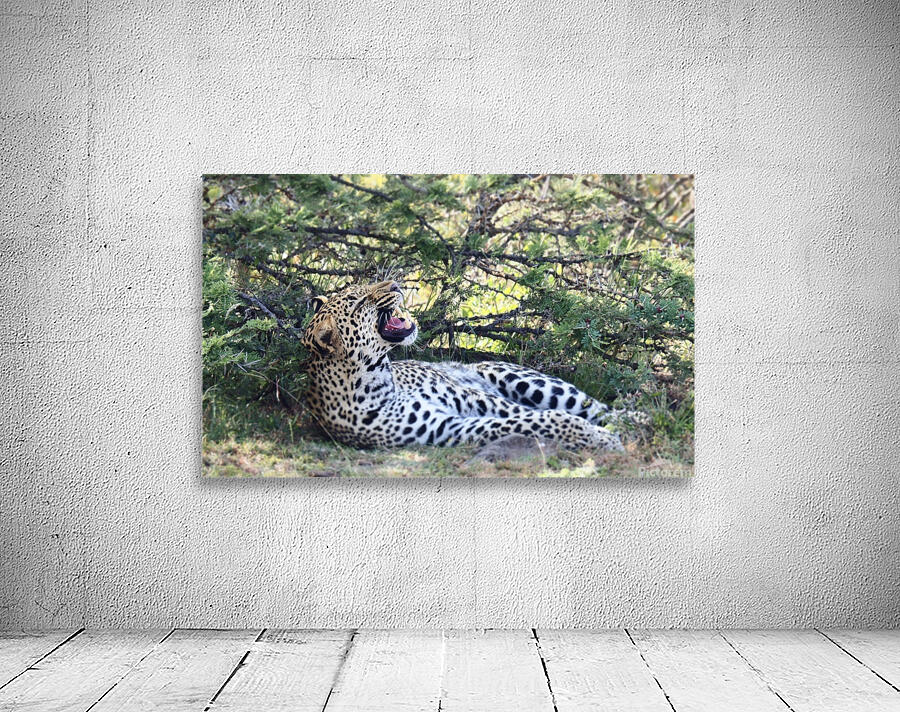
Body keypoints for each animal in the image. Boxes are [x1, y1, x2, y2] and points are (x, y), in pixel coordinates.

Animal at [301, 280, 626, 451]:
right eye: (358, 302)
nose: (395, 284)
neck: (376, 377)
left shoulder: (477, 399)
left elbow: (531, 414)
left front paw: (600, 435)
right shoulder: (448, 428)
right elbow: (533, 420)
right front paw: (596, 437)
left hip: (524, 380)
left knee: (600, 408)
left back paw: (633, 421)